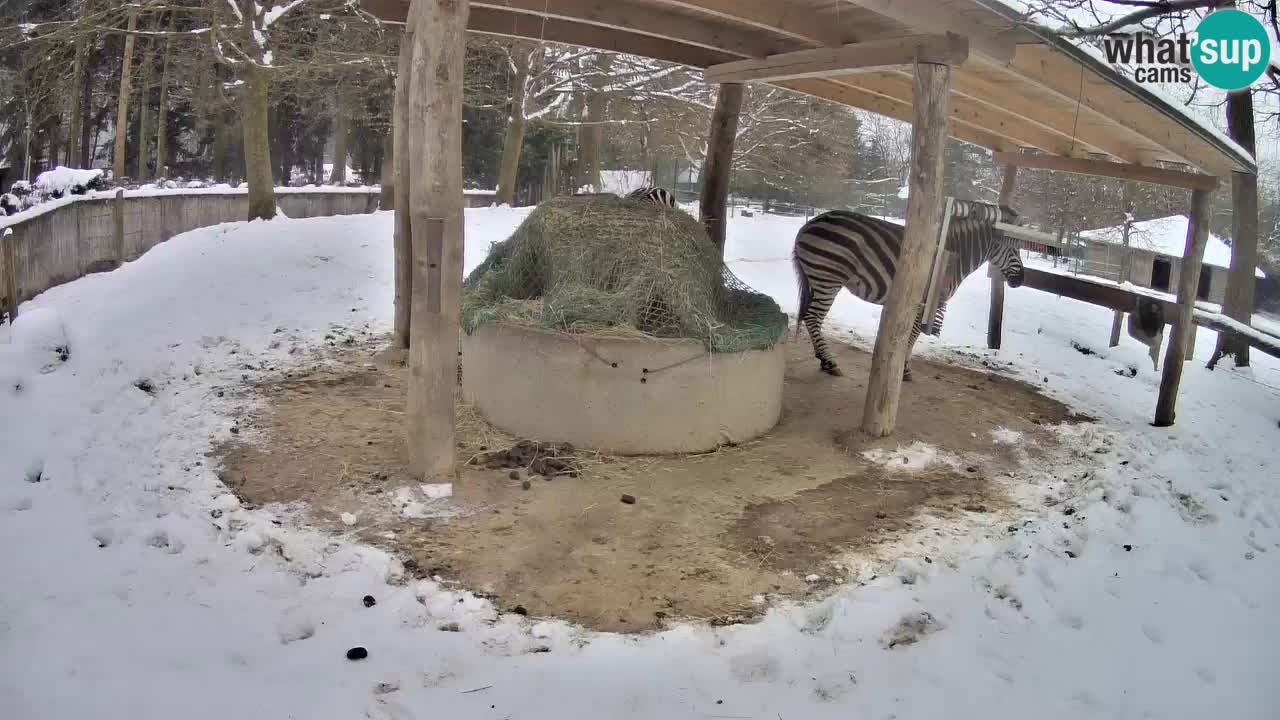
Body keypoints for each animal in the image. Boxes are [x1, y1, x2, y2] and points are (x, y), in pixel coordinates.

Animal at [793, 200, 1024, 380]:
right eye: (1014, 248)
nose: (1021, 280)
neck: (953, 255)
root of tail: (809, 224)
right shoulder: (925, 301)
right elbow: (912, 336)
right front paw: (903, 370)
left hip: (820, 280)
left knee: (811, 317)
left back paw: (823, 359)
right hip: (828, 278)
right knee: (813, 317)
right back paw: (829, 362)